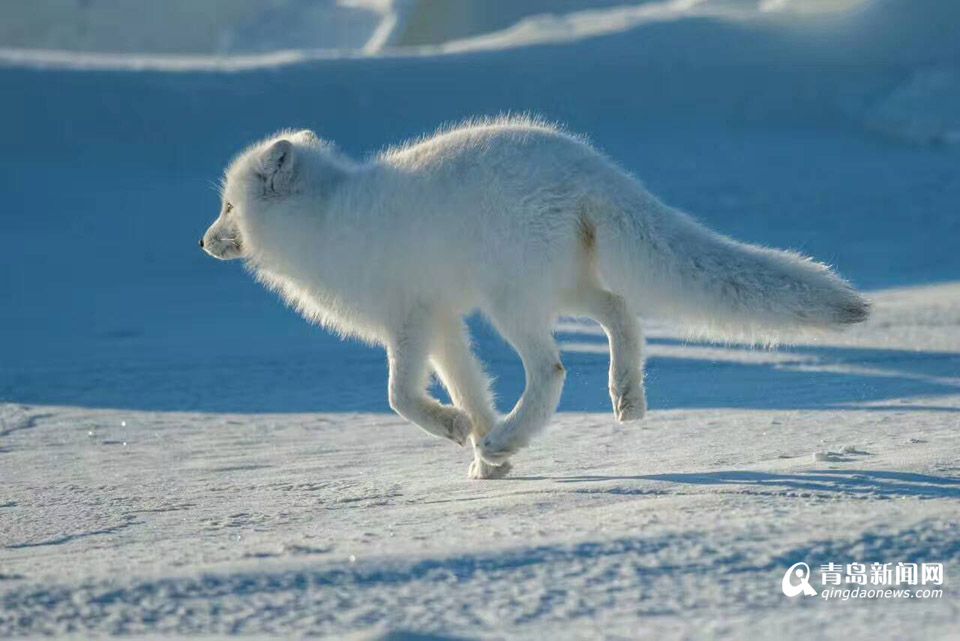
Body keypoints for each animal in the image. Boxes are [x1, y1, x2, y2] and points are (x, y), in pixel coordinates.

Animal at [202, 119, 872, 480]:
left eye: (229, 207)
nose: (202, 242)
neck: (323, 219)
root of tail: (586, 164)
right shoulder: (445, 323)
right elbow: (469, 388)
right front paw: (483, 459)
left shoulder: (409, 318)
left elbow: (398, 397)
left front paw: (466, 436)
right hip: (564, 287)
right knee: (622, 313)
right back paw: (623, 399)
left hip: (512, 301)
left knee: (551, 368)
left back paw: (516, 433)